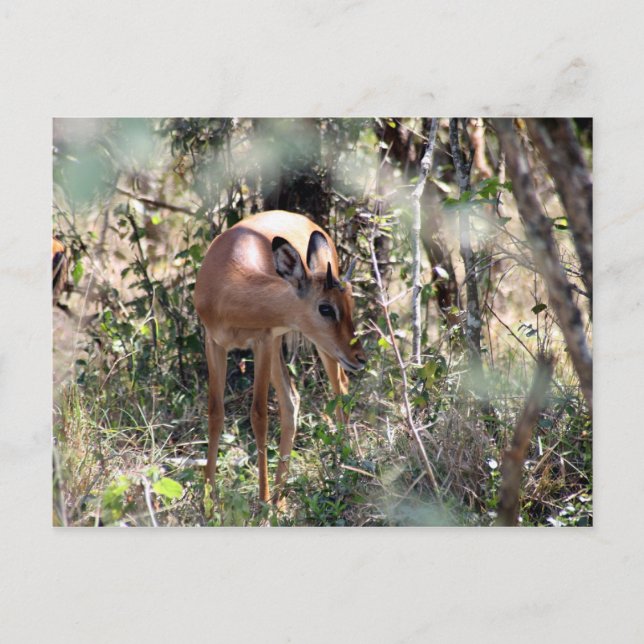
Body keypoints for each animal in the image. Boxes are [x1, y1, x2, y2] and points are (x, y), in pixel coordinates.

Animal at [194, 210, 366, 505]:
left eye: (348, 306)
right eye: (325, 308)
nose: (361, 357)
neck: (227, 287)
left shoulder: (262, 342)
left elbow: (259, 415)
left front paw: (261, 499)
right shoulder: (214, 343)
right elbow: (215, 413)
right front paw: (208, 502)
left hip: (315, 348)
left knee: (340, 388)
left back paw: (341, 468)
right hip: (282, 345)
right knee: (292, 400)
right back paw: (280, 496)